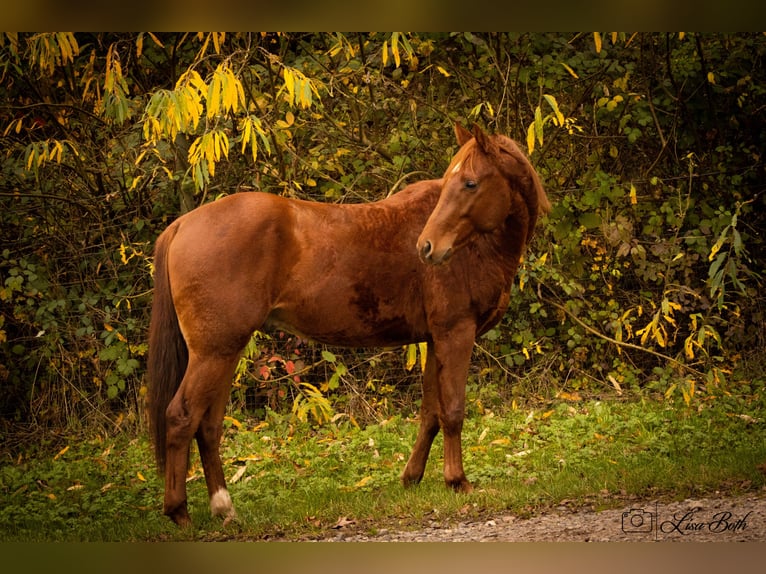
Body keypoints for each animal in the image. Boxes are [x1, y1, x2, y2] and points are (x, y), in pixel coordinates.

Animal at [146, 125, 552, 528]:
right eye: (458, 182)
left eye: (469, 183)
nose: (427, 247)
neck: (478, 248)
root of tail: (182, 224)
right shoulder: (455, 334)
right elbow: (451, 411)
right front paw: (458, 481)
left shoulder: (435, 340)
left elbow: (430, 414)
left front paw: (412, 477)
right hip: (213, 353)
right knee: (181, 417)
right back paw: (179, 512)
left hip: (225, 352)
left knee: (208, 426)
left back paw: (224, 508)